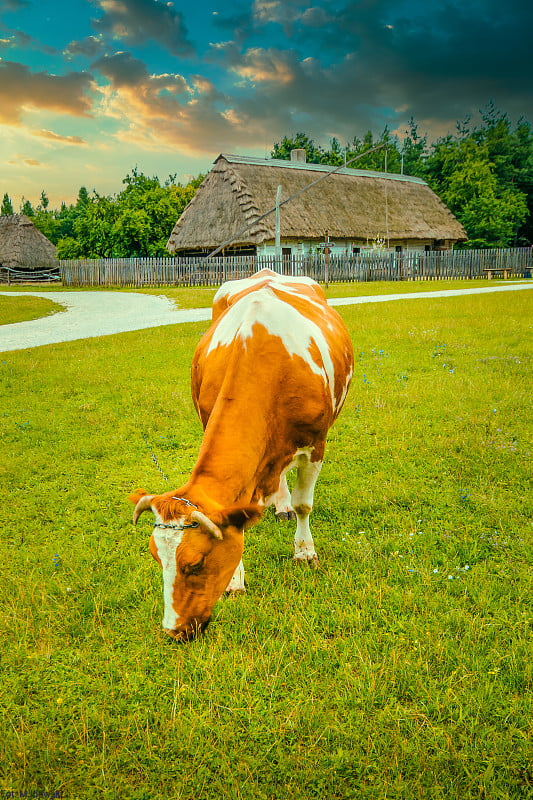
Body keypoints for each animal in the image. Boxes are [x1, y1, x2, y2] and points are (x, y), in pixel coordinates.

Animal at [129, 272, 354, 640]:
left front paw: (305, 552)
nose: (174, 631)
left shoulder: (315, 444)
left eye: (196, 563)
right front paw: (235, 581)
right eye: (156, 558)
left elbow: (305, 505)